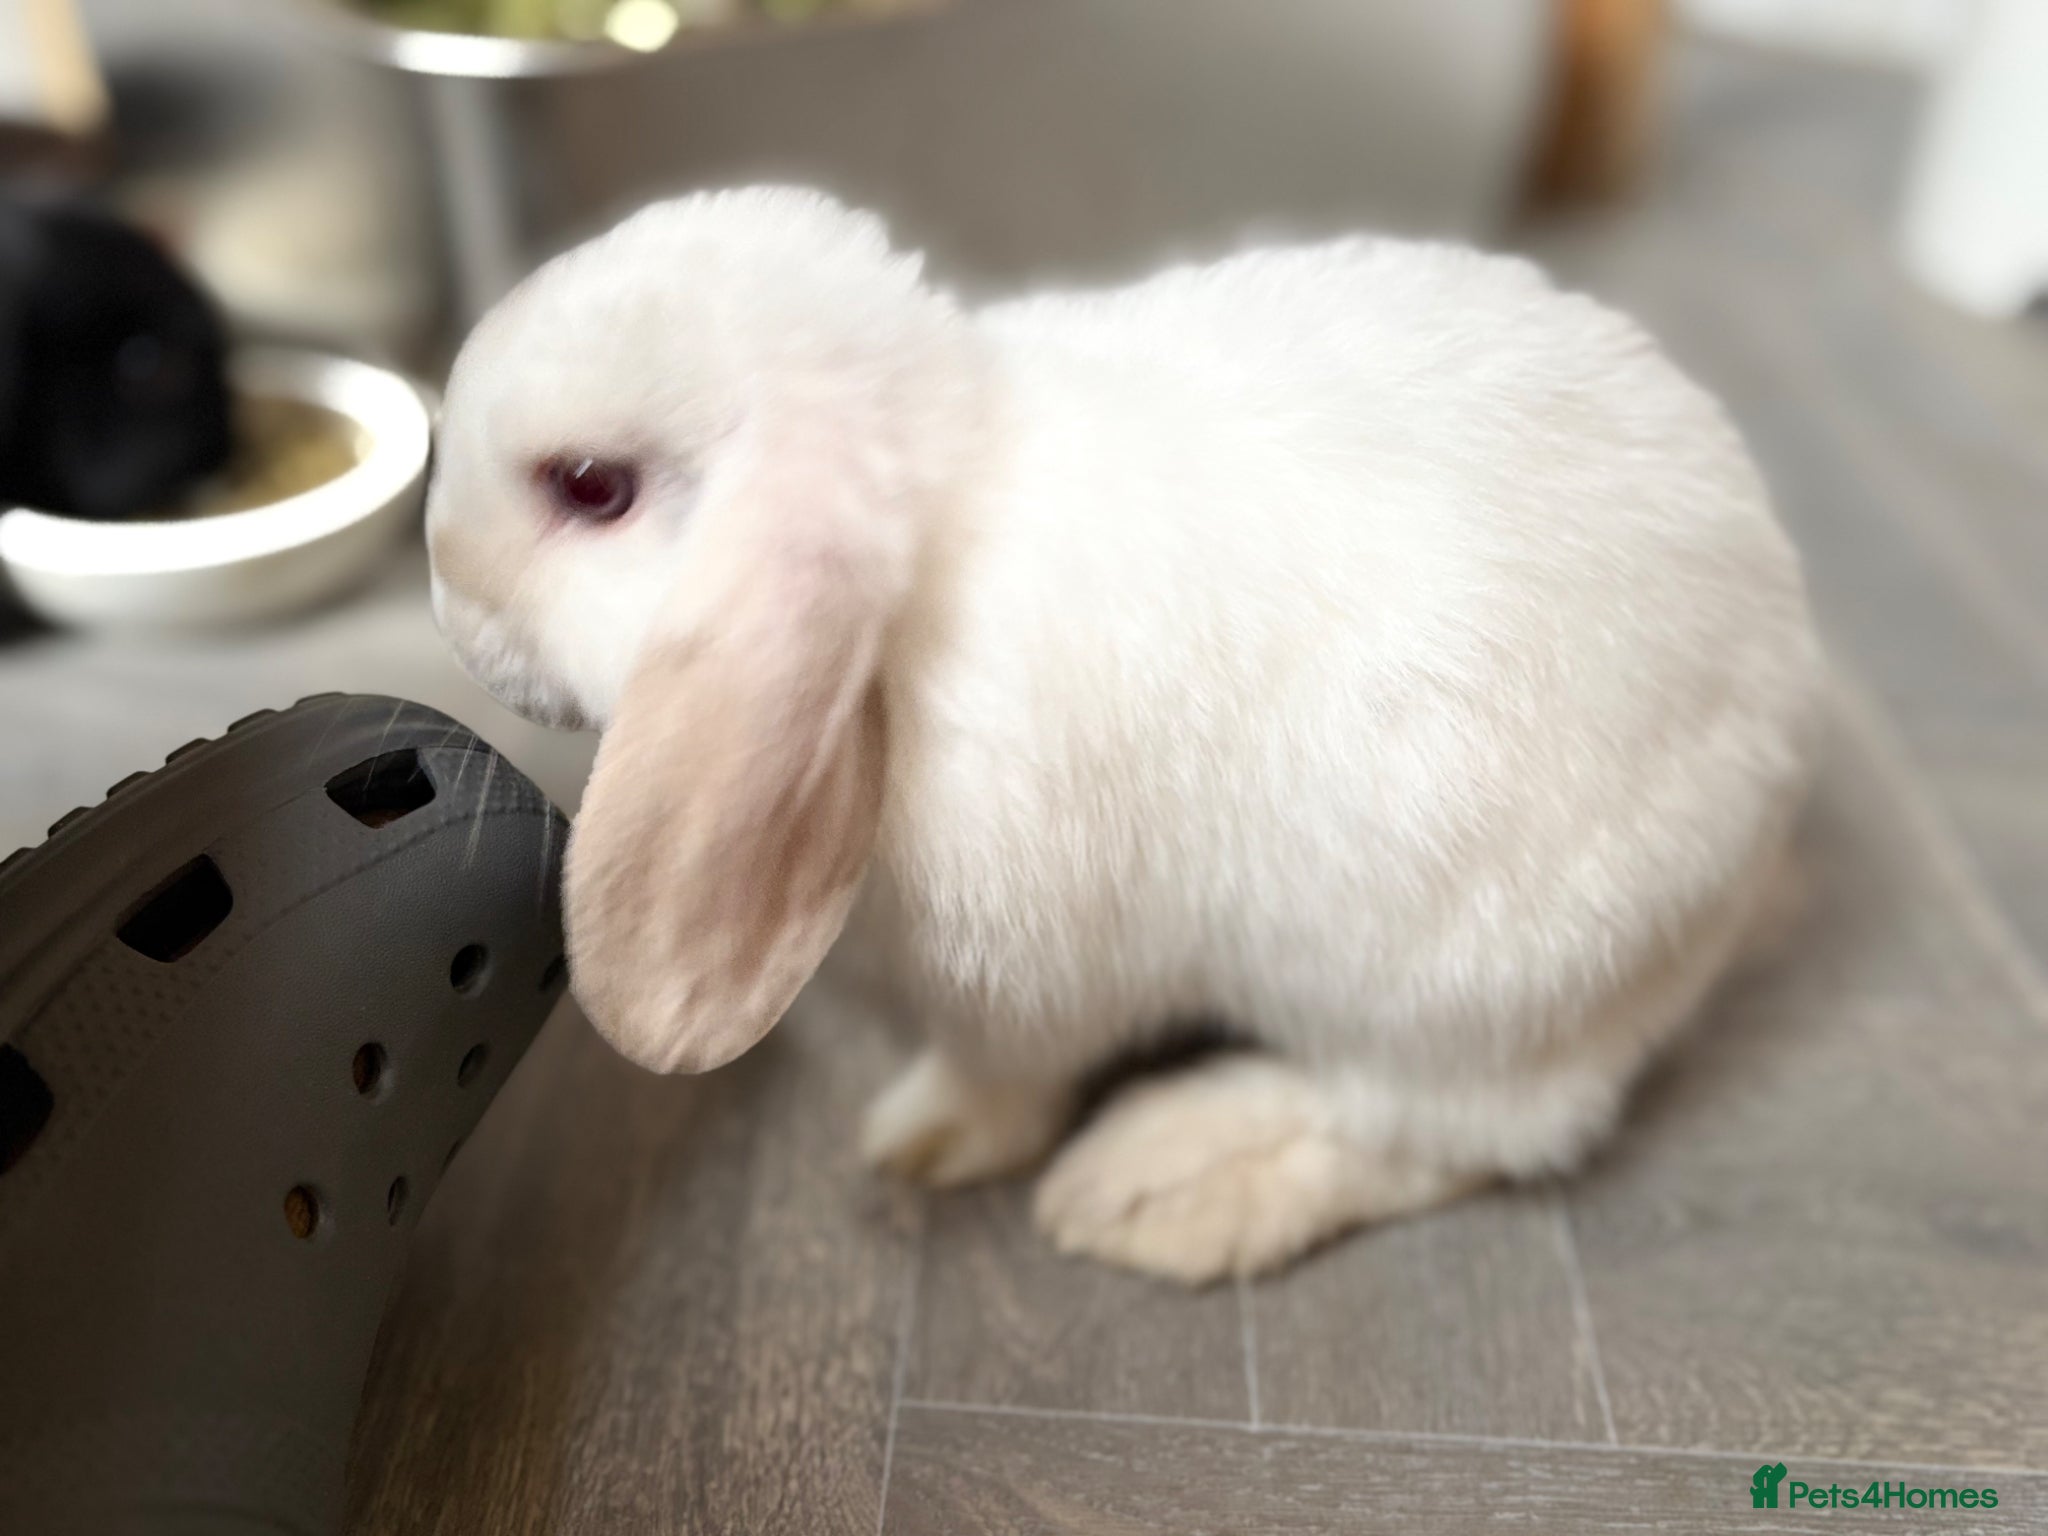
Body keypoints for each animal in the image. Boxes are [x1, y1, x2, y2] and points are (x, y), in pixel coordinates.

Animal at [426, 187, 1823, 1284]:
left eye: (590, 487)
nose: (449, 603)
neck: (923, 575)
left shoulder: (1026, 986)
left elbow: (1001, 1081)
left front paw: (925, 1143)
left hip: (1466, 986)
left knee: (1454, 1133)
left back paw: (1157, 1191)